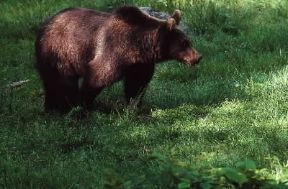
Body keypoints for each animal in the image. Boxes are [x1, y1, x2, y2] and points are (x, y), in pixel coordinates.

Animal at [35, 5, 202, 112]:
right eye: (184, 43)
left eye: (188, 41)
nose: (198, 57)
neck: (139, 46)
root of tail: (46, 22)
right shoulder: (113, 50)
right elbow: (98, 76)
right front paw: (82, 104)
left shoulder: (140, 63)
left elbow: (137, 83)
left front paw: (134, 105)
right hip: (60, 51)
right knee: (62, 81)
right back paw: (62, 106)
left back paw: (50, 106)